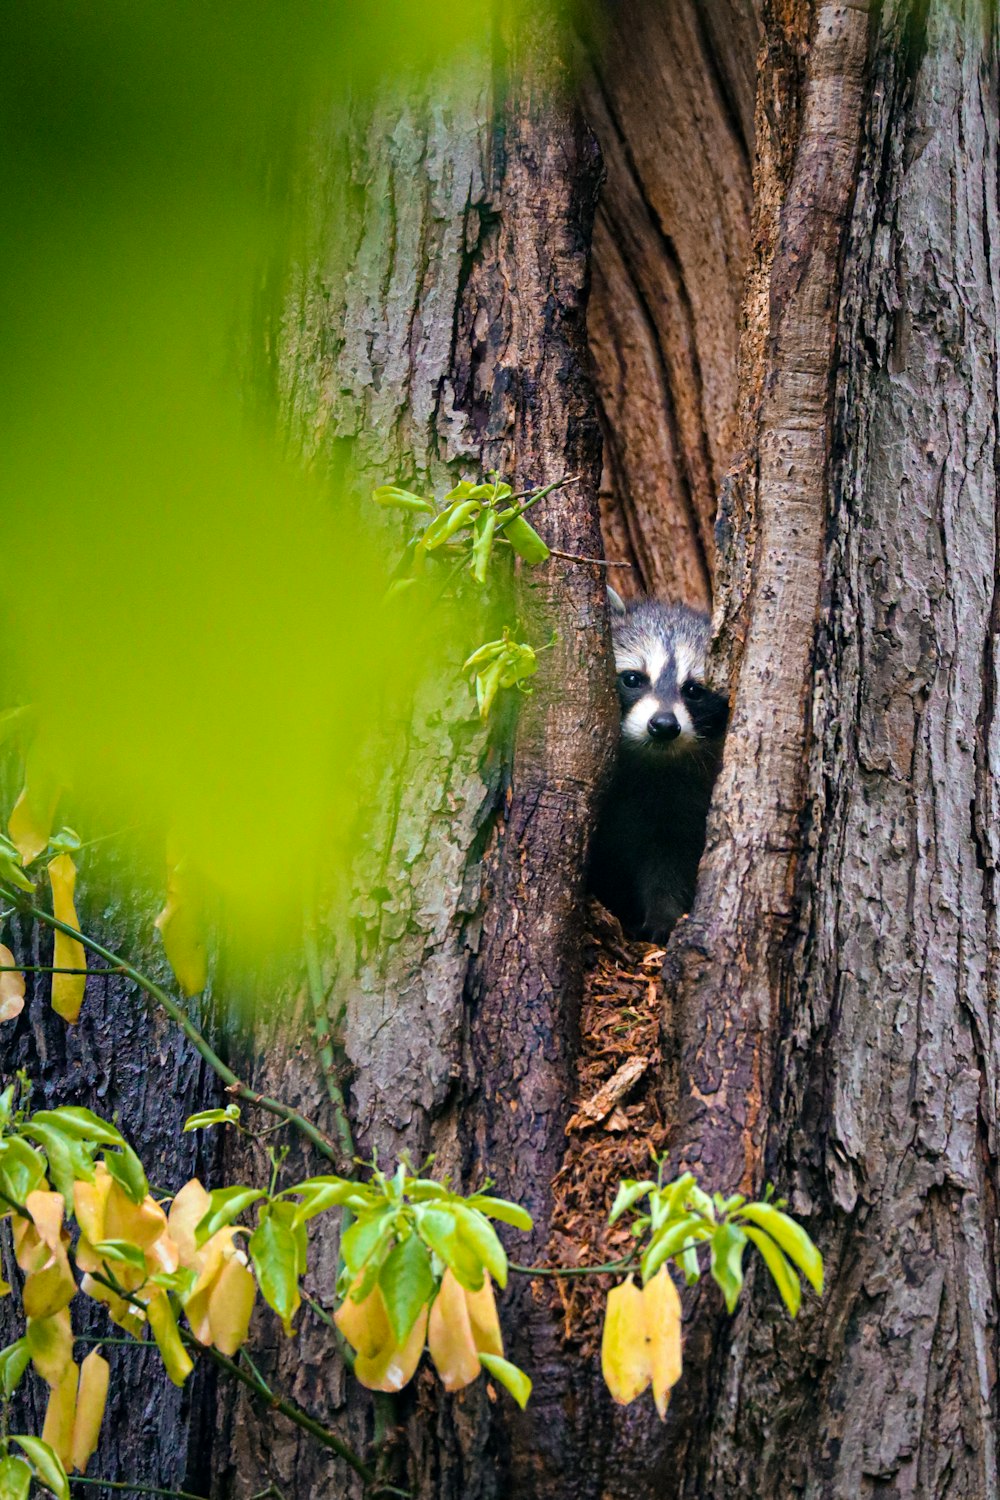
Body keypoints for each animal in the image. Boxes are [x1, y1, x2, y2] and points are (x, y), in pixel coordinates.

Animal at [593, 591, 728, 942]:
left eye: (694, 690)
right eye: (632, 679)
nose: (664, 725)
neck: (648, 761)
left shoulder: (683, 798)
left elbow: (670, 857)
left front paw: (664, 914)